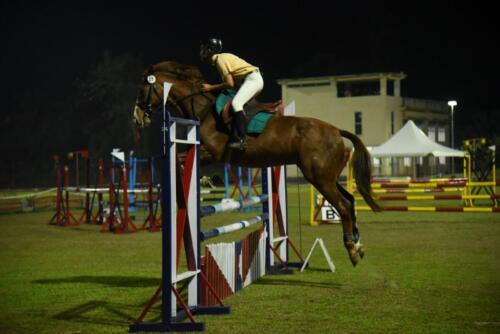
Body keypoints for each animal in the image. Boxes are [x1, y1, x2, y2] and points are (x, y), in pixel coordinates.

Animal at [131, 60, 380, 266]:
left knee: (344, 206)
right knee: (350, 201)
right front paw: (204, 180)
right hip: (328, 177)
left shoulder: (211, 152)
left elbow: (182, 160)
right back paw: (358, 245)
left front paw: (202, 180)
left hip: (319, 178)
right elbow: (184, 161)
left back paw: (352, 249)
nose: (137, 117)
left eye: (143, 89)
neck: (202, 108)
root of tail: (337, 131)